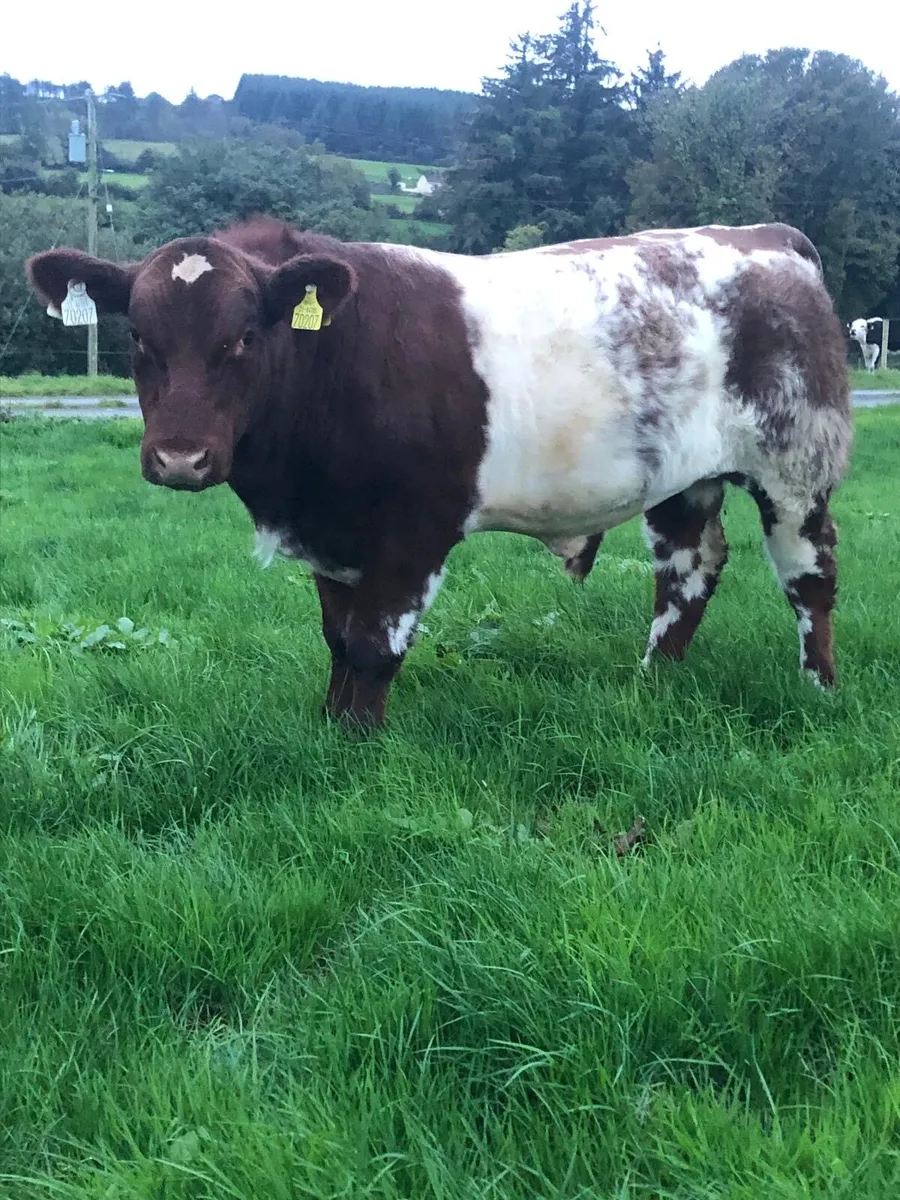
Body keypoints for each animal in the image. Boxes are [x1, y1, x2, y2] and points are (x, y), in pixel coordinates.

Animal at [26, 218, 852, 728]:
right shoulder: (333, 533)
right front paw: (329, 721)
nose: (180, 457)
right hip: (684, 476)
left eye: (245, 335)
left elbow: (373, 645)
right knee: (688, 568)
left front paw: (357, 741)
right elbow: (337, 637)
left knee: (808, 576)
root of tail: (766, 238)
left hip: (796, 463)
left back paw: (818, 688)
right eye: (137, 335)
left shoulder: (413, 532)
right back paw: (654, 681)